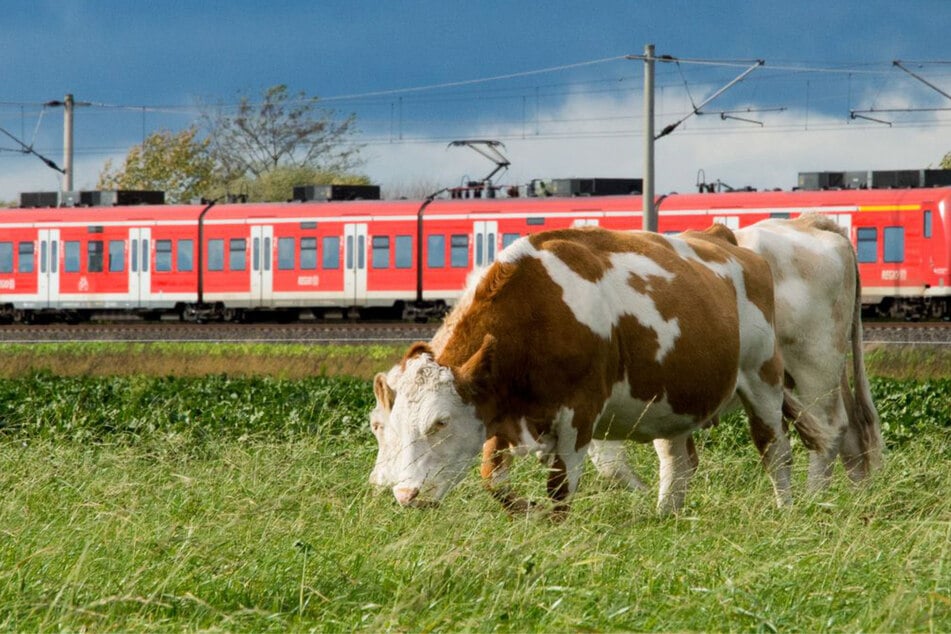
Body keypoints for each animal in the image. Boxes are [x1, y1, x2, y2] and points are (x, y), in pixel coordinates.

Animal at [370, 214, 881, 510]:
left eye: (439, 422)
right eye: (383, 425)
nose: (401, 493)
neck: (538, 308)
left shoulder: (580, 414)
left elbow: (567, 485)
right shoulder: (502, 412)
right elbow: (493, 480)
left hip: (789, 377)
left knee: (800, 443)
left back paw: (799, 508)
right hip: (680, 394)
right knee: (681, 461)